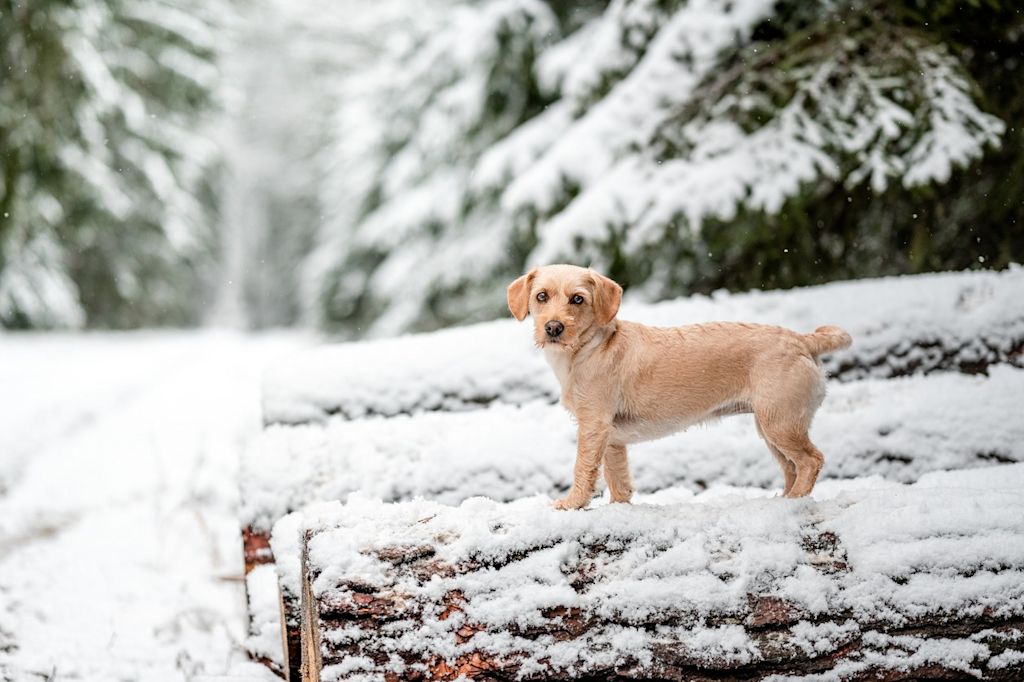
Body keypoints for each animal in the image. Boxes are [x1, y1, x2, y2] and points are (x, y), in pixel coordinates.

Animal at [507, 262, 851, 507]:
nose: (553, 328)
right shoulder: (612, 439)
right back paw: (784, 500)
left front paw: (571, 504)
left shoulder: (593, 425)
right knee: (792, 467)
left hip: (780, 424)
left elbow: (583, 468)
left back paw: (795, 500)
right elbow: (617, 478)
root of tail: (802, 340)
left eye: (578, 299)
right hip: (772, 428)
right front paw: (619, 506)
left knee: (811, 461)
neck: (588, 349)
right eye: (541, 296)